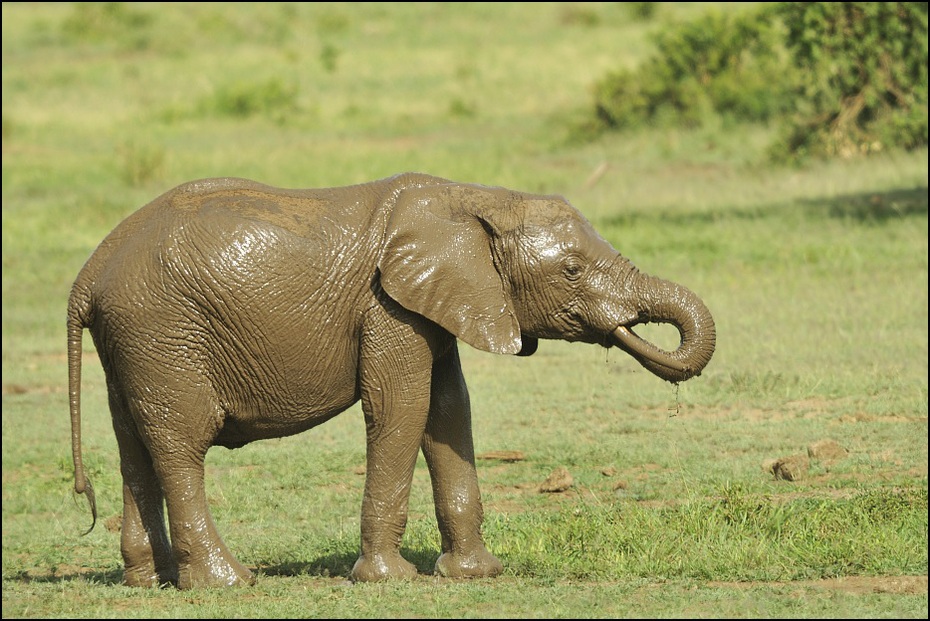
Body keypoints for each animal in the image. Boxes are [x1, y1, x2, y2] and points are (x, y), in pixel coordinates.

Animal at [69, 171, 716, 588]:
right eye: (572, 270)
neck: (476, 199)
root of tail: (89, 273)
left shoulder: (442, 302)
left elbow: (449, 410)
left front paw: (475, 576)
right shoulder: (389, 306)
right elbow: (400, 407)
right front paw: (389, 580)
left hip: (133, 343)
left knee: (135, 445)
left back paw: (149, 581)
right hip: (162, 329)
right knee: (182, 443)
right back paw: (225, 582)